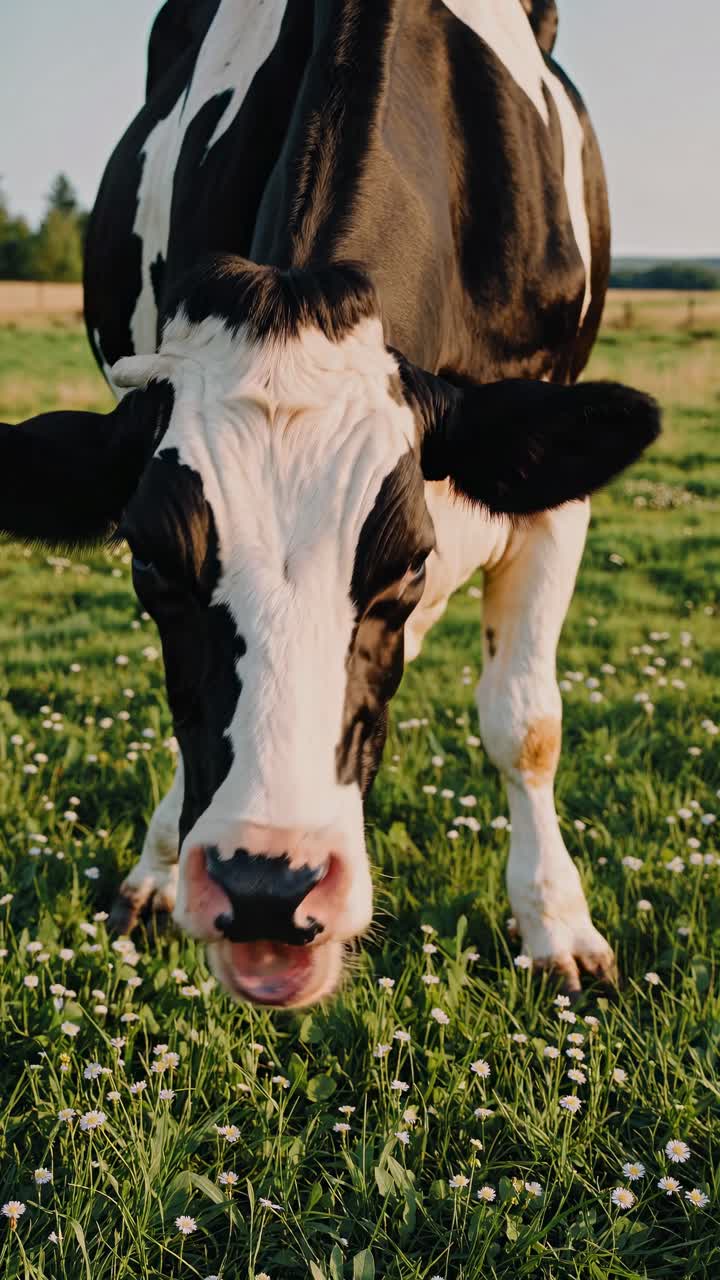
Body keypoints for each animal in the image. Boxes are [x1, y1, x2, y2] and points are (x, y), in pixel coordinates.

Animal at [0, 0, 659, 1007]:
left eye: (408, 561)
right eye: (149, 559)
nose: (268, 889)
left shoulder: (548, 487)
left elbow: (527, 723)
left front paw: (558, 927)